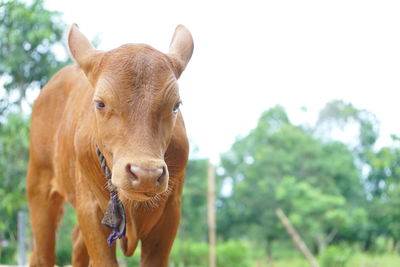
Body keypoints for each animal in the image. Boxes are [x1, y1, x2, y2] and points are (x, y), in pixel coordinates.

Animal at [27, 24, 193, 266]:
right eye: (101, 103)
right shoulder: (90, 210)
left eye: (175, 106)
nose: (146, 174)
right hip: (40, 188)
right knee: (42, 254)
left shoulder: (170, 212)